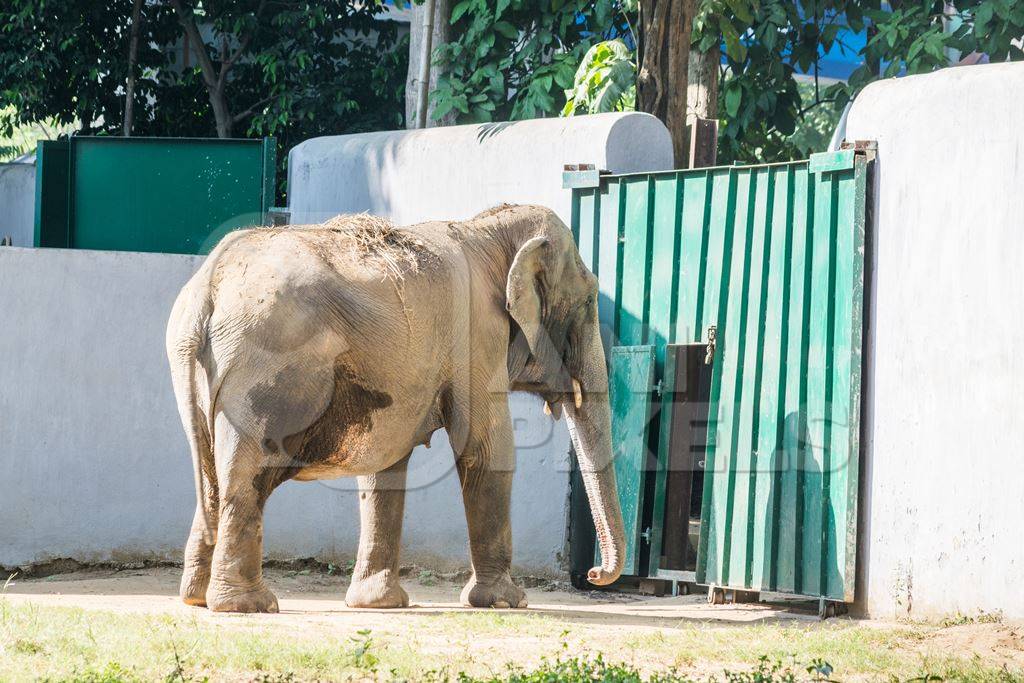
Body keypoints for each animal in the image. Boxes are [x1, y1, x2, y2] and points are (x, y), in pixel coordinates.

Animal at [166, 204, 622, 614]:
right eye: (589, 301)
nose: (594, 574)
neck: (488, 229)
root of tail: (207, 287)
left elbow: (384, 465)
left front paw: (378, 604)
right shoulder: (477, 335)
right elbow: (487, 449)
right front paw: (506, 602)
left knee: (211, 474)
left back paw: (197, 599)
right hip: (264, 374)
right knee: (246, 475)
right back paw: (248, 605)